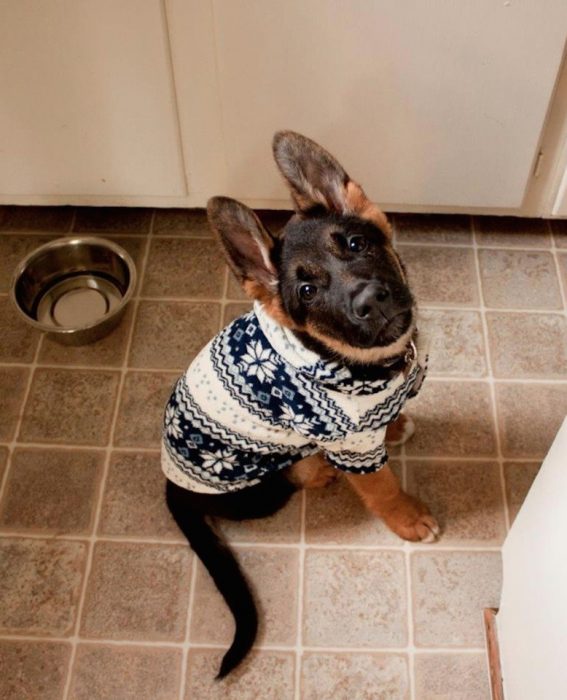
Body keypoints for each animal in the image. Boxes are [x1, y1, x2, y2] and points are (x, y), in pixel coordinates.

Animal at [164, 131, 440, 680]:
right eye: (308, 290)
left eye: (355, 244)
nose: (370, 300)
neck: (360, 362)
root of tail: (171, 485)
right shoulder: (353, 447)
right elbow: (383, 488)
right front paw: (408, 518)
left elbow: (390, 419)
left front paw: (396, 426)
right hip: (265, 483)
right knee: (296, 478)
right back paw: (318, 471)